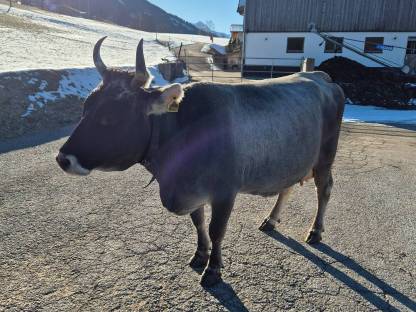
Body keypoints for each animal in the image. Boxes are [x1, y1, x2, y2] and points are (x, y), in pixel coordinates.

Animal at [57, 37, 346, 286]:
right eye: (85, 108)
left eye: (112, 116)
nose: (63, 159)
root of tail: (321, 76)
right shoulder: (192, 190)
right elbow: (198, 223)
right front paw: (200, 254)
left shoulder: (225, 191)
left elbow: (217, 229)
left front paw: (213, 269)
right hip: (291, 159)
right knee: (287, 188)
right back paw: (271, 220)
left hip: (325, 158)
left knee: (325, 190)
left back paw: (315, 231)